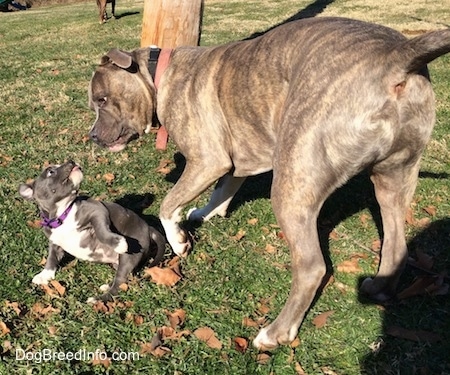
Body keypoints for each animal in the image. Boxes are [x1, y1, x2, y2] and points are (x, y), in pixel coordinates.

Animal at [19, 161, 166, 302]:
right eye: (50, 171)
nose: (71, 161)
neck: (62, 214)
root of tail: (148, 228)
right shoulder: (55, 242)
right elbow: (51, 258)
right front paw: (44, 275)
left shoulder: (98, 211)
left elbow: (101, 231)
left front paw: (118, 243)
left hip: (129, 257)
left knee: (119, 284)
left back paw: (97, 299)